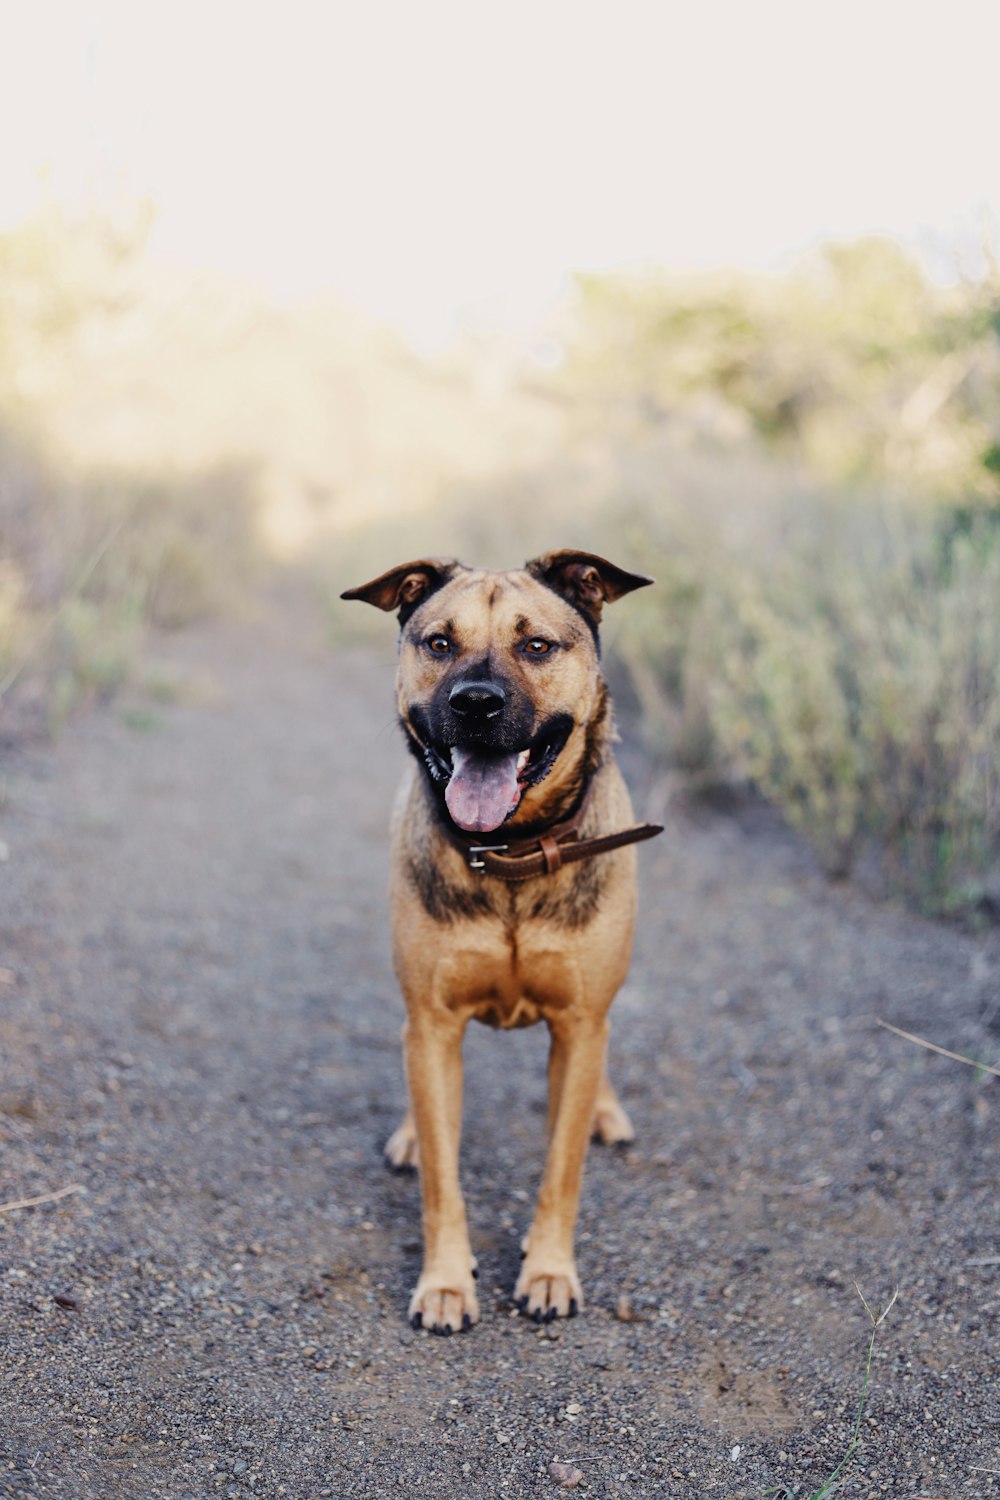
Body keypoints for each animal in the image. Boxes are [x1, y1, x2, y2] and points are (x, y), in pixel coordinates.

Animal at [340, 555, 659, 1338]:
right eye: (438, 643)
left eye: (537, 645)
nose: (476, 703)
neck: (510, 852)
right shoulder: (433, 1023)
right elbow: (442, 1180)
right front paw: (446, 1284)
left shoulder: (578, 1026)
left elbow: (561, 1169)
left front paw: (548, 1272)